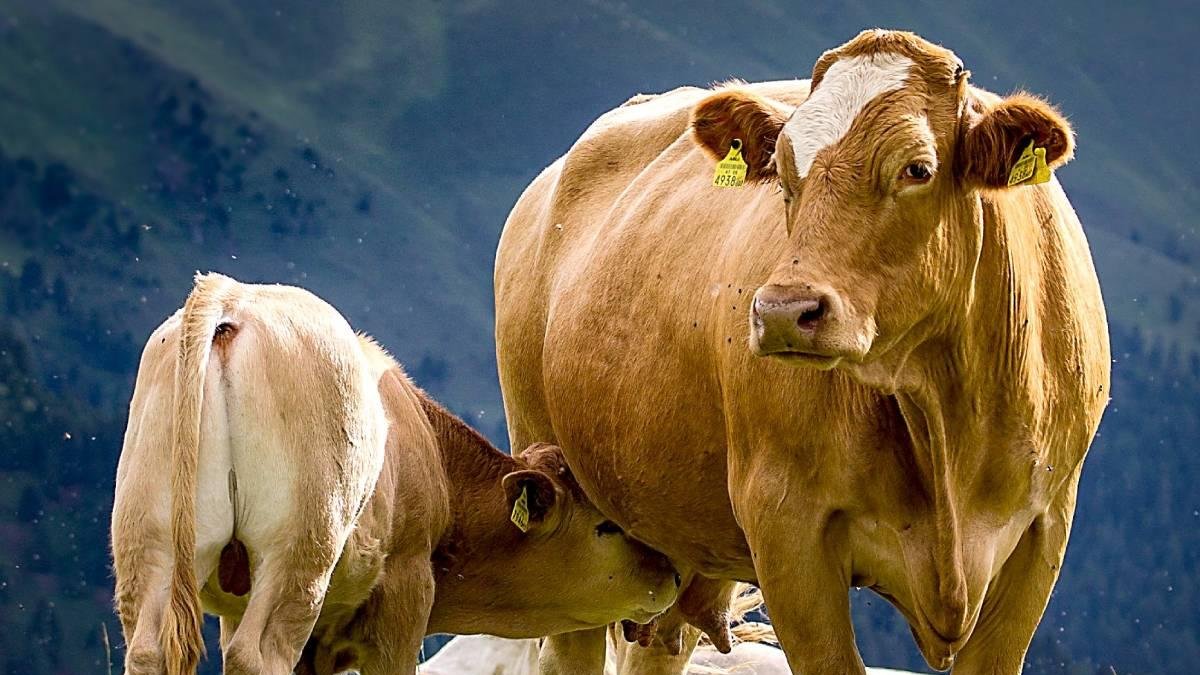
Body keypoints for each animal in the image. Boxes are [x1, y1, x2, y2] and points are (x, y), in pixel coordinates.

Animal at [111, 273, 679, 675]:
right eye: (606, 526)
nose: (672, 575)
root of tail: (233, 298)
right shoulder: (405, 594)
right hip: (298, 549)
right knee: (257, 655)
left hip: (150, 542)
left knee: (148, 651)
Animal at [494, 29, 1110, 675]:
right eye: (785, 174)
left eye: (917, 169)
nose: (784, 310)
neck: (942, 411)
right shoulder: (787, 528)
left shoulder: (1044, 530)